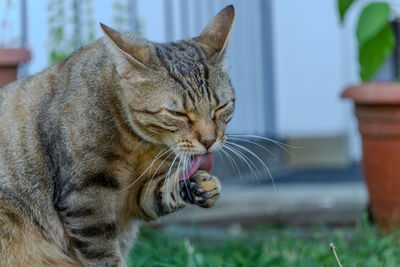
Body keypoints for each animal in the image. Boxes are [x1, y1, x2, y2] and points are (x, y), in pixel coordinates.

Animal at [0, 4, 234, 267]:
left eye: (221, 107)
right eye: (177, 113)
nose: (209, 141)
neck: (138, 145)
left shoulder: (136, 195)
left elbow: (160, 192)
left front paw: (201, 184)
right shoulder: (84, 199)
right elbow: (101, 252)